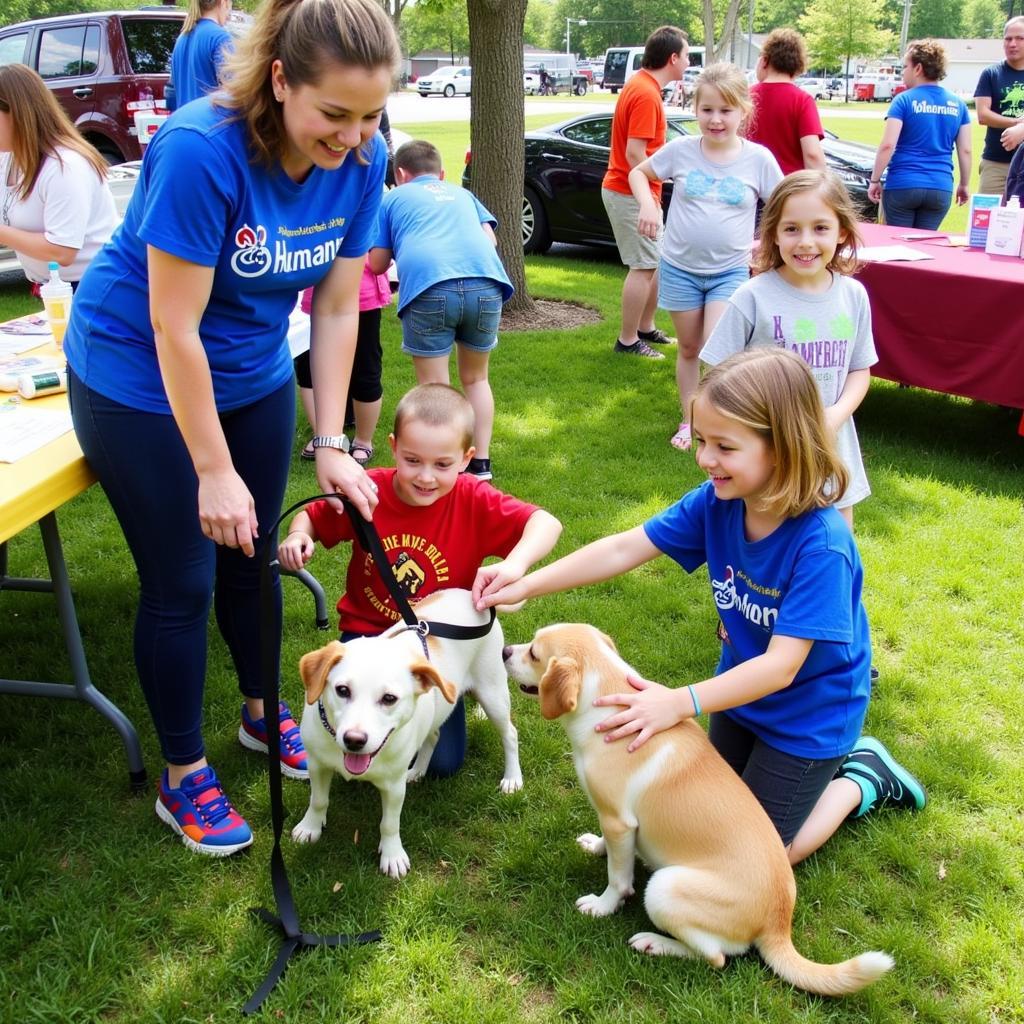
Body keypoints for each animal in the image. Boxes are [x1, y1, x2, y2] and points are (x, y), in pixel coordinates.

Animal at [294, 589, 520, 876]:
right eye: (342, 690)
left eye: (389, 698)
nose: (354, 740)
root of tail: (471, 596)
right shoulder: (317, 765)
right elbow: (318, 801)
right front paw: (310, 827)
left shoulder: (393, 786)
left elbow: (389, 824)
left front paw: (392, 855)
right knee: (433, 736)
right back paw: (418, 771)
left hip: (493, 693)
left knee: (510, 734)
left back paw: (512, 778)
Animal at [503, 618, 897, 995]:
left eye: (534, 653)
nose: (505, 651)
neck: (605, 699)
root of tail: (779, 923)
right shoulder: (614, 822)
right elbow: (611, 848)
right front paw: (596, 847)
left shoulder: (619, 822)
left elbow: (618, 878)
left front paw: (602, 906)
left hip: (663, 888)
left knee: (716, 957)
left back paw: (654, 943)